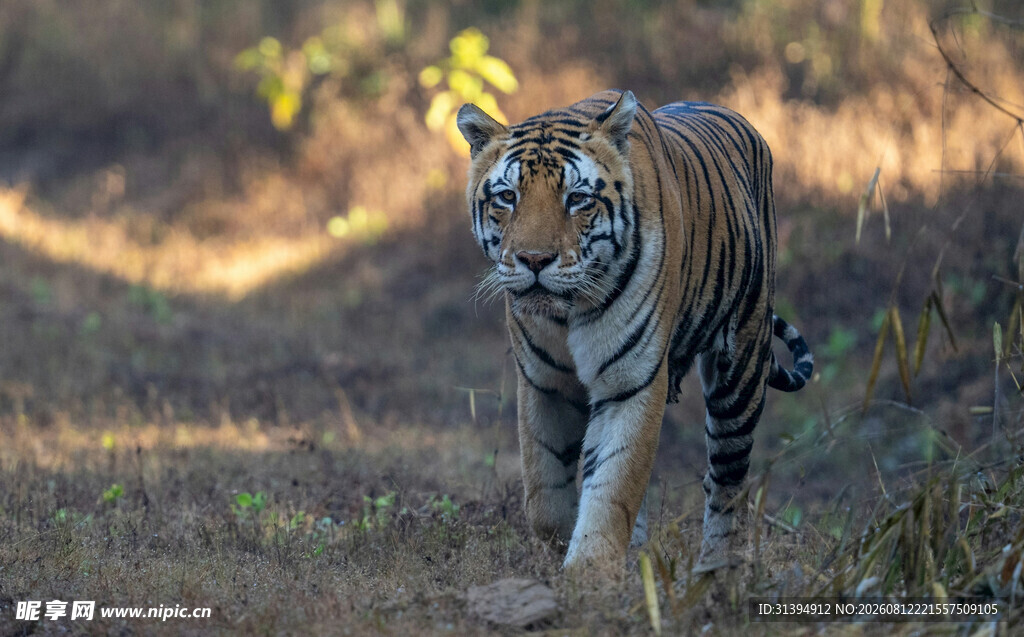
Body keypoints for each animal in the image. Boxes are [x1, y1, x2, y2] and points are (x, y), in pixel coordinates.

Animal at [456, 89, 813, 572]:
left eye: (577, 199)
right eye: (508, 197)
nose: (534, 260)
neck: (566, 313)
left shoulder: (631, 382)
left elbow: (613, 487)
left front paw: (589, 574)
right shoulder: (543, 383)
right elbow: (545, 494)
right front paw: (565, 554)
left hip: (741, 371)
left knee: (726, 484)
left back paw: (714, 572)